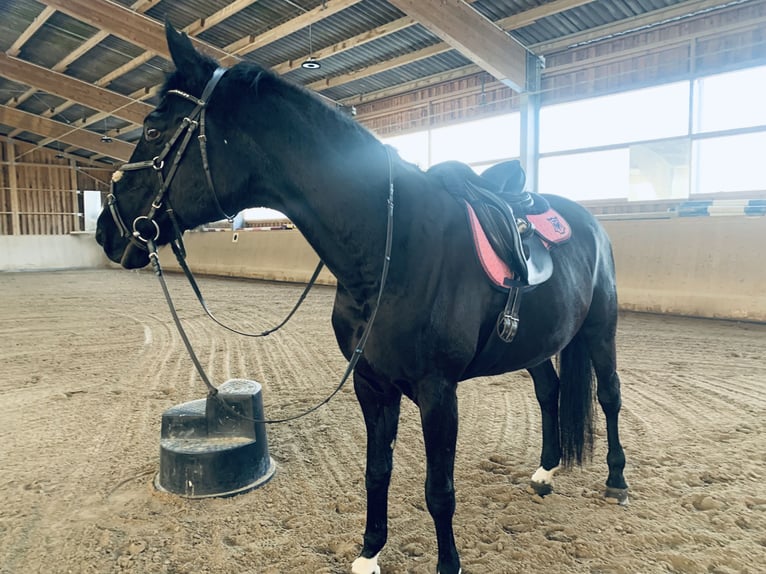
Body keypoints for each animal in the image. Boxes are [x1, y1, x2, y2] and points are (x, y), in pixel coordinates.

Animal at [96, 23, 628, 574]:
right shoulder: (371, 384)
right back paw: (546, 471)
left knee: (609, 396)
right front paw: (370, 551)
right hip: (535, 344)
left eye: (153, 130)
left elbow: (439, 490)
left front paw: (448, 563)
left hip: (600, 329)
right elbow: (378, 471)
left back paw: (616, 481)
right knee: (549, 390)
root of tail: (588, 221)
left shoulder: (439, 393)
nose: (106, 230)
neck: (392, 248)